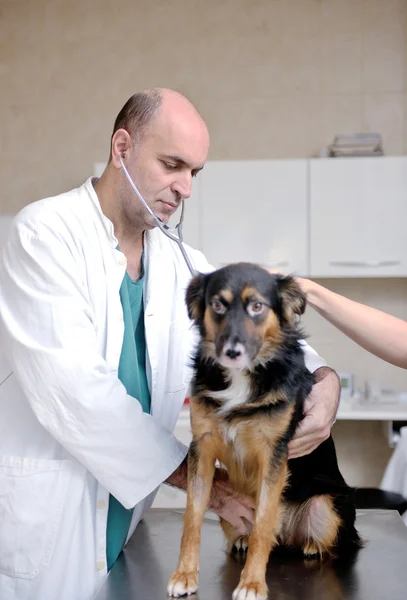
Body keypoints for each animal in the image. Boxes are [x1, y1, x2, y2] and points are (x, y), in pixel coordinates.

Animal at [167, 264, 362, 600]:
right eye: (217, 305)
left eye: (257, 306)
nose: (231, 351)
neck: (241, 378)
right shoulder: (201, 449)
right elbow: (192, 519)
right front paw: (184, 575)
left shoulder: (274, 455)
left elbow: (262, 525)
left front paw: (252, 583)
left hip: (327, 506)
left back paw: (311, 545)